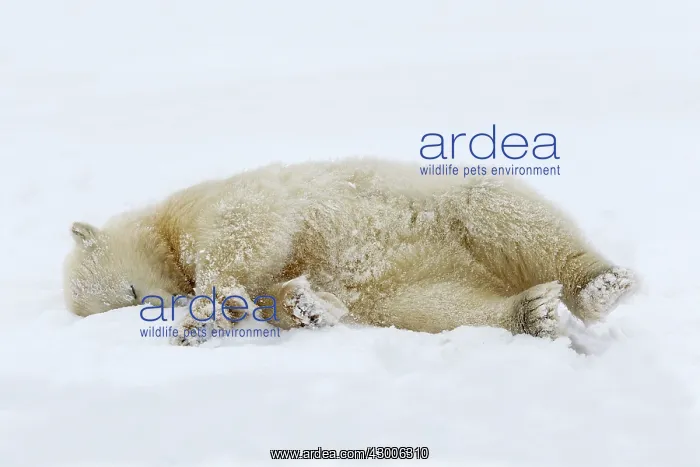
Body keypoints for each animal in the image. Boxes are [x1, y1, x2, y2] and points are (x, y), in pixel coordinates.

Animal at [63, 158, 636, 346]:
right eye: (123, 303)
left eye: (131, 291)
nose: (156, 306)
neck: (165, 230)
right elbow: (277, 292)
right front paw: (306, 305)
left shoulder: (211, 204)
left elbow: (246, 230)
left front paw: (206, 310)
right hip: (405, 281)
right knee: (434, 306)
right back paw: (530, 313)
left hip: (453, 205)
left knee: (507, 213)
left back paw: (600, 285)